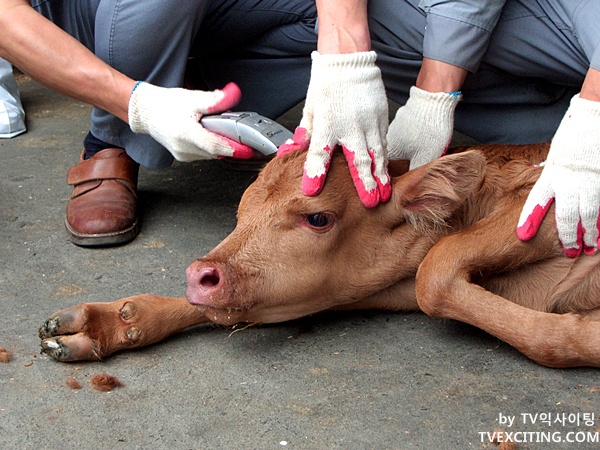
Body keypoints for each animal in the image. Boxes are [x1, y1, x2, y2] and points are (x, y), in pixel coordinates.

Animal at [38, 146, 600, 368]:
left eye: (318, 219)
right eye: (240, 211)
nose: (200, 273)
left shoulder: (557, 203)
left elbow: (435, 269)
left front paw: (579, 333)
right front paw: (105, 323)